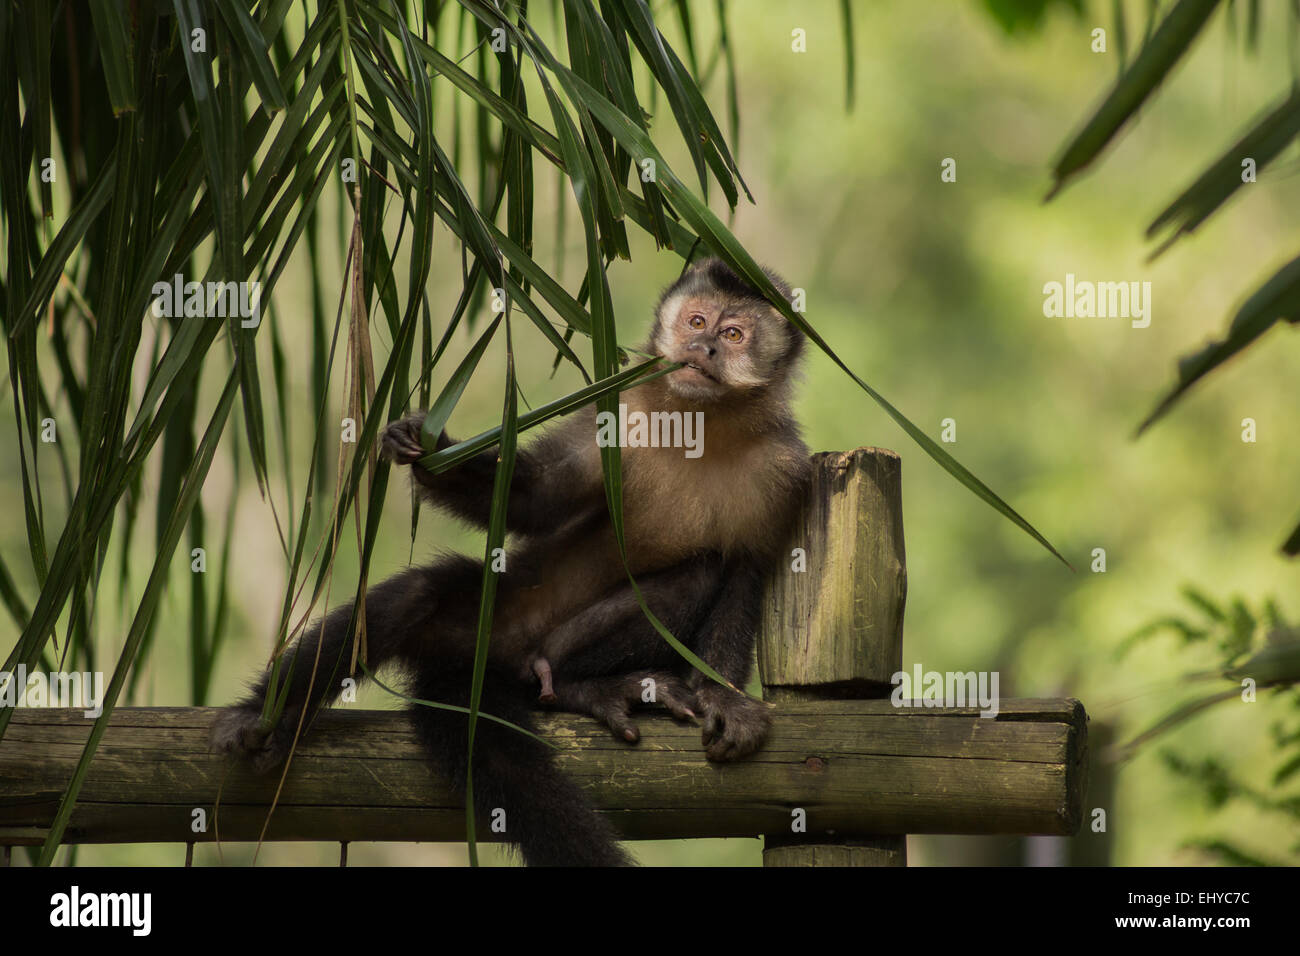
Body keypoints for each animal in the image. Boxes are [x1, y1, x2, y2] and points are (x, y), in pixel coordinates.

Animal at [208, 257, 806, 868]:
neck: (697, 424)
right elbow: (538, 499)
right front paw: (427, 450)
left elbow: (744, 571)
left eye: (733, 335)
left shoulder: (784, 472)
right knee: (417, 598)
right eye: (696, 321)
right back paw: (266, 716)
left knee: (696, 574)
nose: (702, 349)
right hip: (487, 616)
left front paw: (726, 699)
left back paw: (577, 685)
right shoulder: (614, 417)